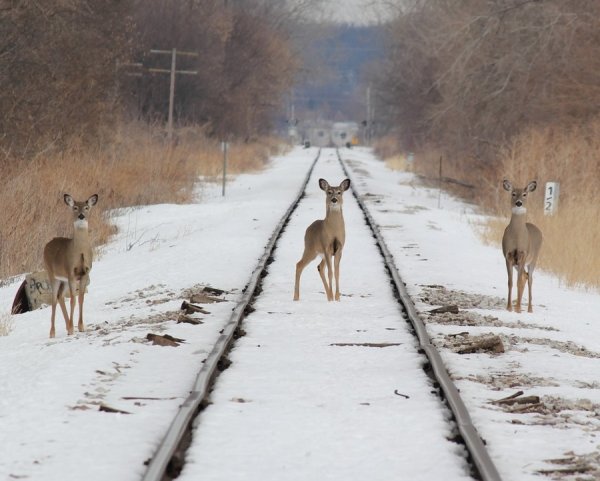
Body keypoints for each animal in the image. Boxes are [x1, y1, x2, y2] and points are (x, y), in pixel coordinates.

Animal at [43, 193, 98, 336]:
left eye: (86, 207)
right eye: (74, 207)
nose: (81, 216)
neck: (79, 251)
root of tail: (47, 245)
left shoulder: (85, 273)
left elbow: (81, 298)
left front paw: (81, 326)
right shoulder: (71, 272)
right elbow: (73, 300)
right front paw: (74, 328)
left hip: (64, 280)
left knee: (60, 296)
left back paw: (67, 326)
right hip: (52, 274)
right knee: (53, 299)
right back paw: (52, 332)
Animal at [502, 179, 544, 312]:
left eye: (525, 194)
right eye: (513, 193)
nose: (519, 203)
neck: (517, 237)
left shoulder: (523, 254)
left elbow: (518, 282)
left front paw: (519, 309)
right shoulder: (508, 255)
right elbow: (510, 282)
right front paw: (509, 307)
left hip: (534, 259)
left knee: (529, 278)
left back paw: (529, 309)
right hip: (518, 263)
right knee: (524, 276)